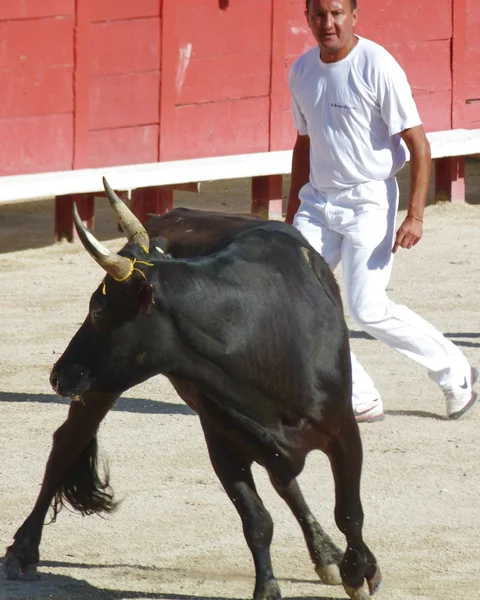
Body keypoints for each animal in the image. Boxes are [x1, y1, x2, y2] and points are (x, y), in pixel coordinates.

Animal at [2, 180, 378, 600]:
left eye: (98, 309)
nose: (58, 374)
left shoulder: (343, 429)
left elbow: (349, 512)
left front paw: (358, 572)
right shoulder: (220, 438)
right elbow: (256, 519)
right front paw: (268, 588)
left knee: (285, 481)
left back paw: (326, 553)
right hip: (101, 388)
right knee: (67, 444)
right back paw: (22, 551)